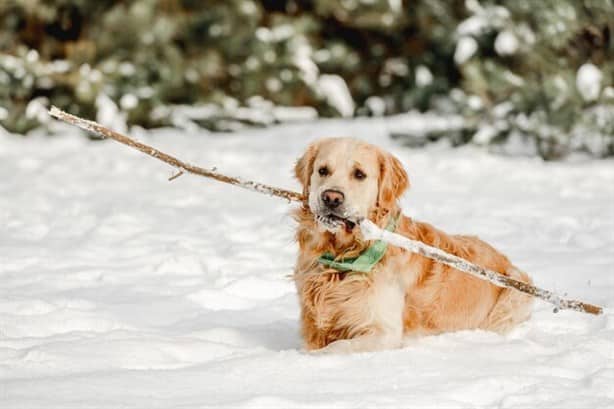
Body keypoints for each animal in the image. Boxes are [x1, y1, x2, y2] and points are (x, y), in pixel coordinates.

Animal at [294, 138, 536, 354]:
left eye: (359, 174)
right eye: (323, 170)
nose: (331, 198)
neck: (343, 257)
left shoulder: (384, 333)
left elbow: (332, 349)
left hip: (515, 293)